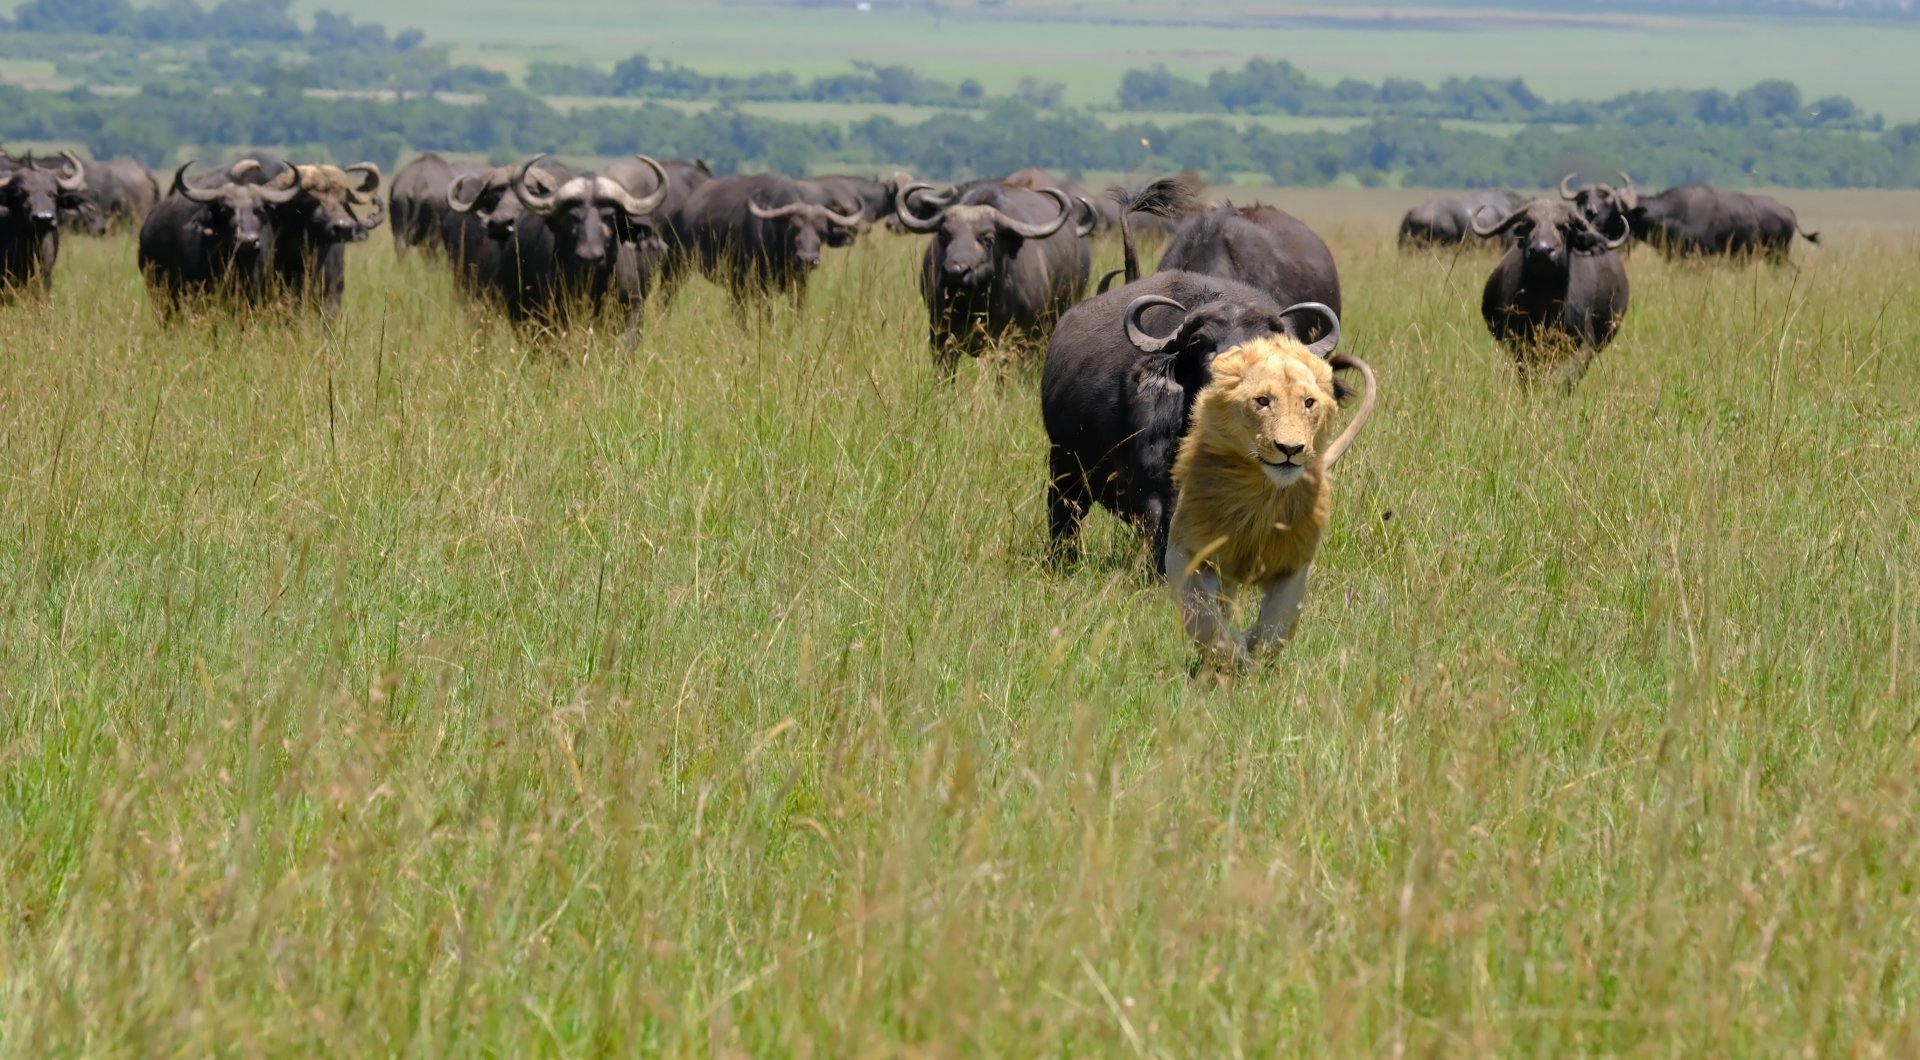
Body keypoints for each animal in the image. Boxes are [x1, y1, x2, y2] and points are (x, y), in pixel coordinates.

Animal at [895, 179, 1091, 374]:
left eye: (988, 239)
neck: (978, 304)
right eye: (944, 234)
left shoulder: (1021, 339)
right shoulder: (941, 334)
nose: (955, 271)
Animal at [1165, 303, 1375, 670]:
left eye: (1308, 403)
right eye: (1262, 401)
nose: (1291, 449)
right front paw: (1232, 656)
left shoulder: (1296, 560)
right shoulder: (1184, 549)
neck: (1262, 496)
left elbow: (1277, 624)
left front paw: (1253, 652)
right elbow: (1203, 616)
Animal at [1476, 198, 1630, 391]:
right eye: (1529, 223)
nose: (1542, 250)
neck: (1544, 302)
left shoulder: (1584, 343)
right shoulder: (1520, 341)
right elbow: (1528, 376)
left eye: (1562, 226)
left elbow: (1570, 376)